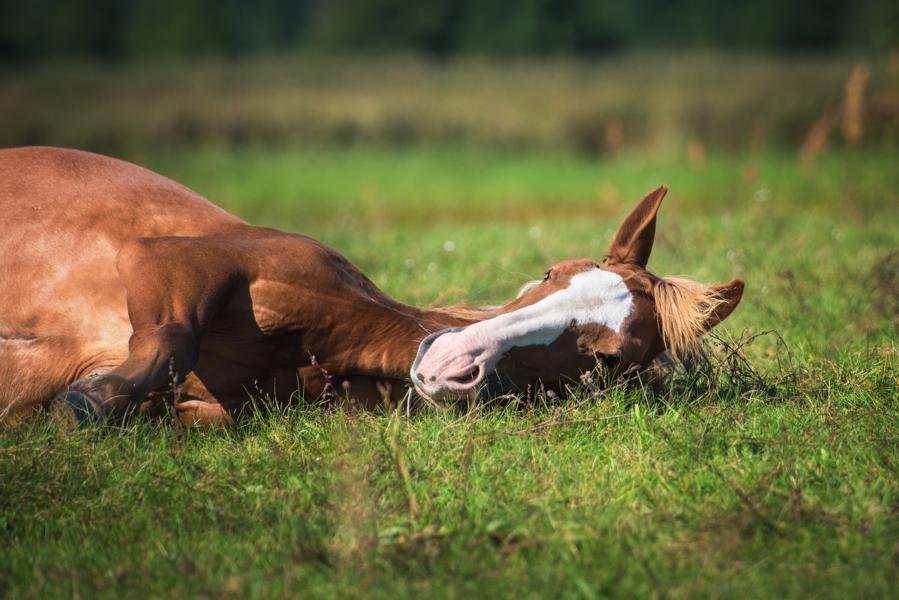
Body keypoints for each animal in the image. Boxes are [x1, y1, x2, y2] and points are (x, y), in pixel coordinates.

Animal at [0, 147, 744, 424]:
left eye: (608, 359)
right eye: (550, 273)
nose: (450, 362)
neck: (322, 343)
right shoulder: (170, 261)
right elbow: (170, 339)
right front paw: (92, 399)